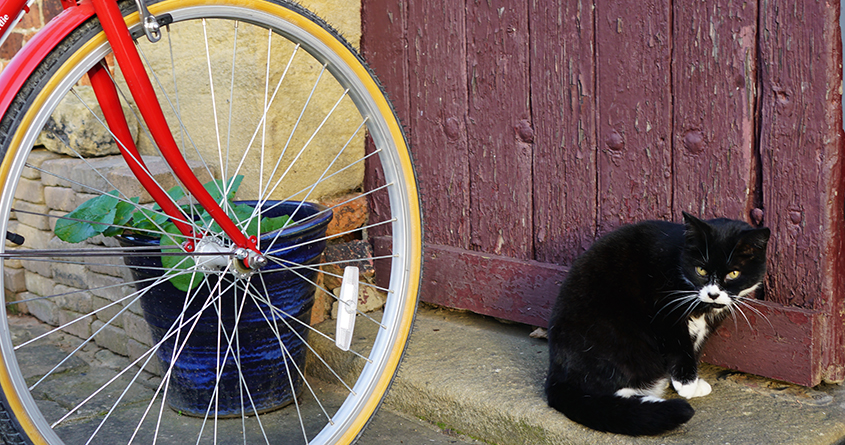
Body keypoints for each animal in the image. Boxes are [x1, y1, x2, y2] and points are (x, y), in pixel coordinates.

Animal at [545, 212, 770, 436]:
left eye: (733, 273)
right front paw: (687, 385)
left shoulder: (709, 322)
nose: (713, 294)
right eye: (701, 270)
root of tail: (557, 371)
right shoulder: (664, 308)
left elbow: (696, 346)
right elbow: (679, 344)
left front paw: (691, 382)